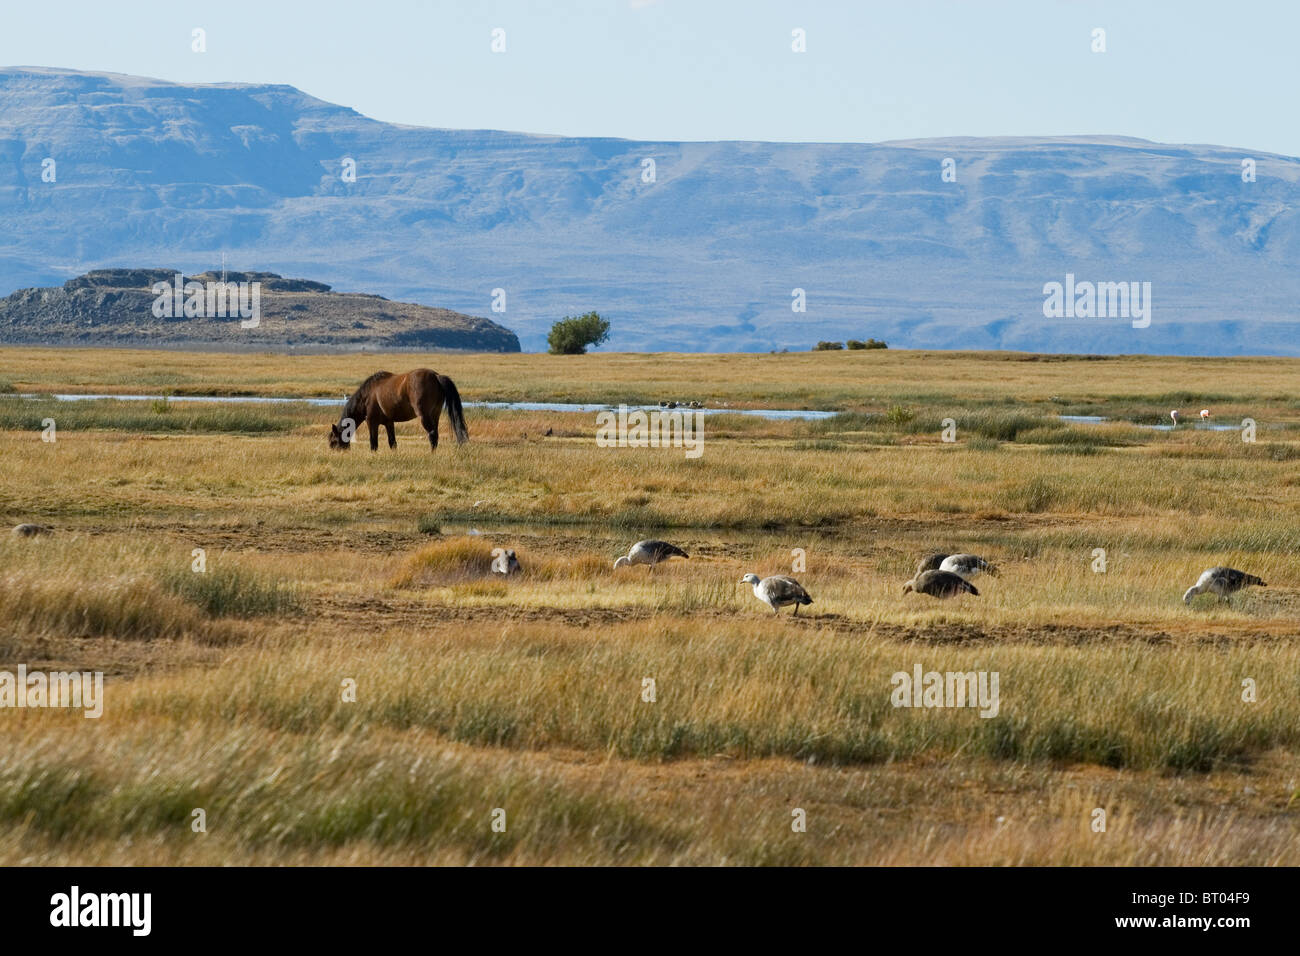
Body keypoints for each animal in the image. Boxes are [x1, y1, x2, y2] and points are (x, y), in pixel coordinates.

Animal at [327, 369, 470, 452]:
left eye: (334, 442)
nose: (335, 453)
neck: (367, 395)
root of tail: (436, 376)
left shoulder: (371, 422)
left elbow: (374, 443)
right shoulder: (389, 423)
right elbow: (392, 442)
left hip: (424, 416)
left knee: (432, 434)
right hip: (435, 414)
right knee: (435, 434)